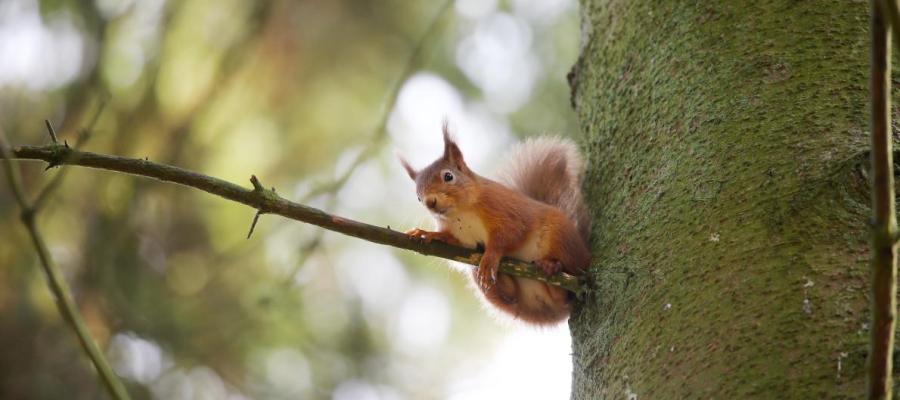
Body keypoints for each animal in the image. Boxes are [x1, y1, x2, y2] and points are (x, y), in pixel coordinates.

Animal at [400, 124, 592, 324]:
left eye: (448, 176)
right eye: (418, 197)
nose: (430, 202)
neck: (461, 212)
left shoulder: (504, 210)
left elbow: (508, 235)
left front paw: (491, 257)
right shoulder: (461, 237)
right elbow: (451, 239)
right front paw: (427, 233)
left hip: (561, 238)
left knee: (569, 286)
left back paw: (551, 266)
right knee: (514, 296)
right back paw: (503, 279)